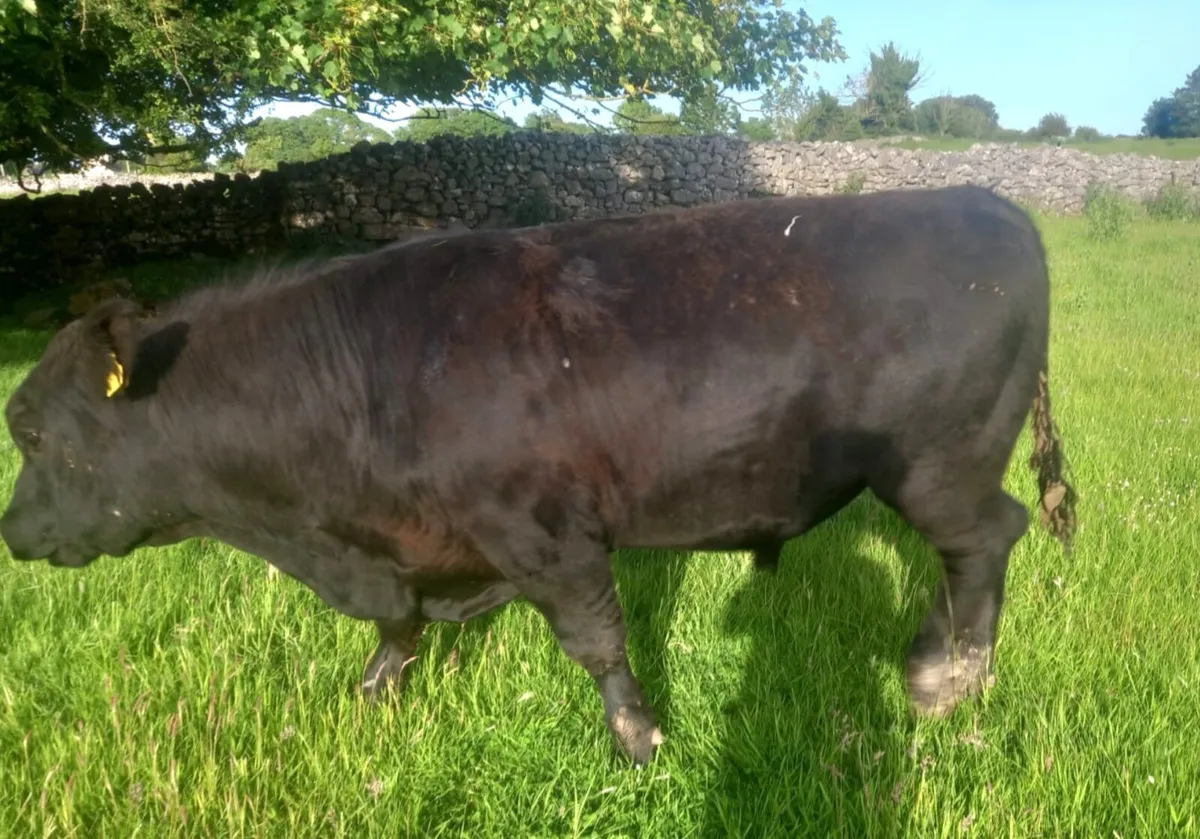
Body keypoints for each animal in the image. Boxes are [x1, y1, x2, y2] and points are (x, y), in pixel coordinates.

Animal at [1, 185, 1077, 765]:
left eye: (34, 431)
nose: (13, 533)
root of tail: (983, 200)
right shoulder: (406, 552)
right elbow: (395, 631)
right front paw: (372, 694)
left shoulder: (546, 533)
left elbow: (596, 641)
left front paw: (639, 740)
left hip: (939, 464)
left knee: (986, 541)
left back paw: (949, 676)